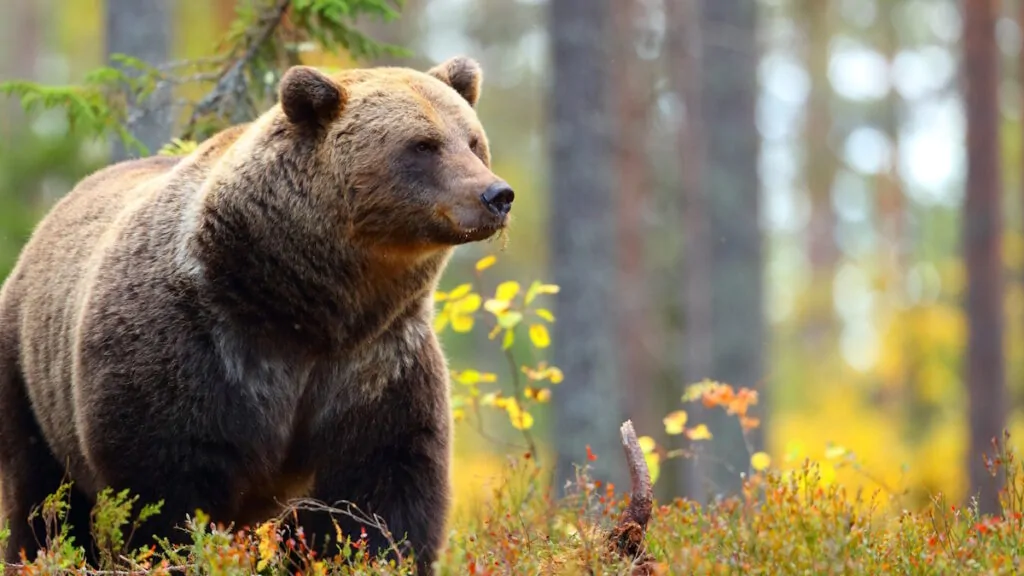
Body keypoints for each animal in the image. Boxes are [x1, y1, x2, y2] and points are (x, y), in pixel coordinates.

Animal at [0, 55, 513, 574]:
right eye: (423, 144)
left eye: (473, 141)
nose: (496, 195)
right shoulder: (196, 344)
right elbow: (165, 486)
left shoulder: (376, 364)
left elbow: (382, 488)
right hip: (28, 371)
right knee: (42, 496)